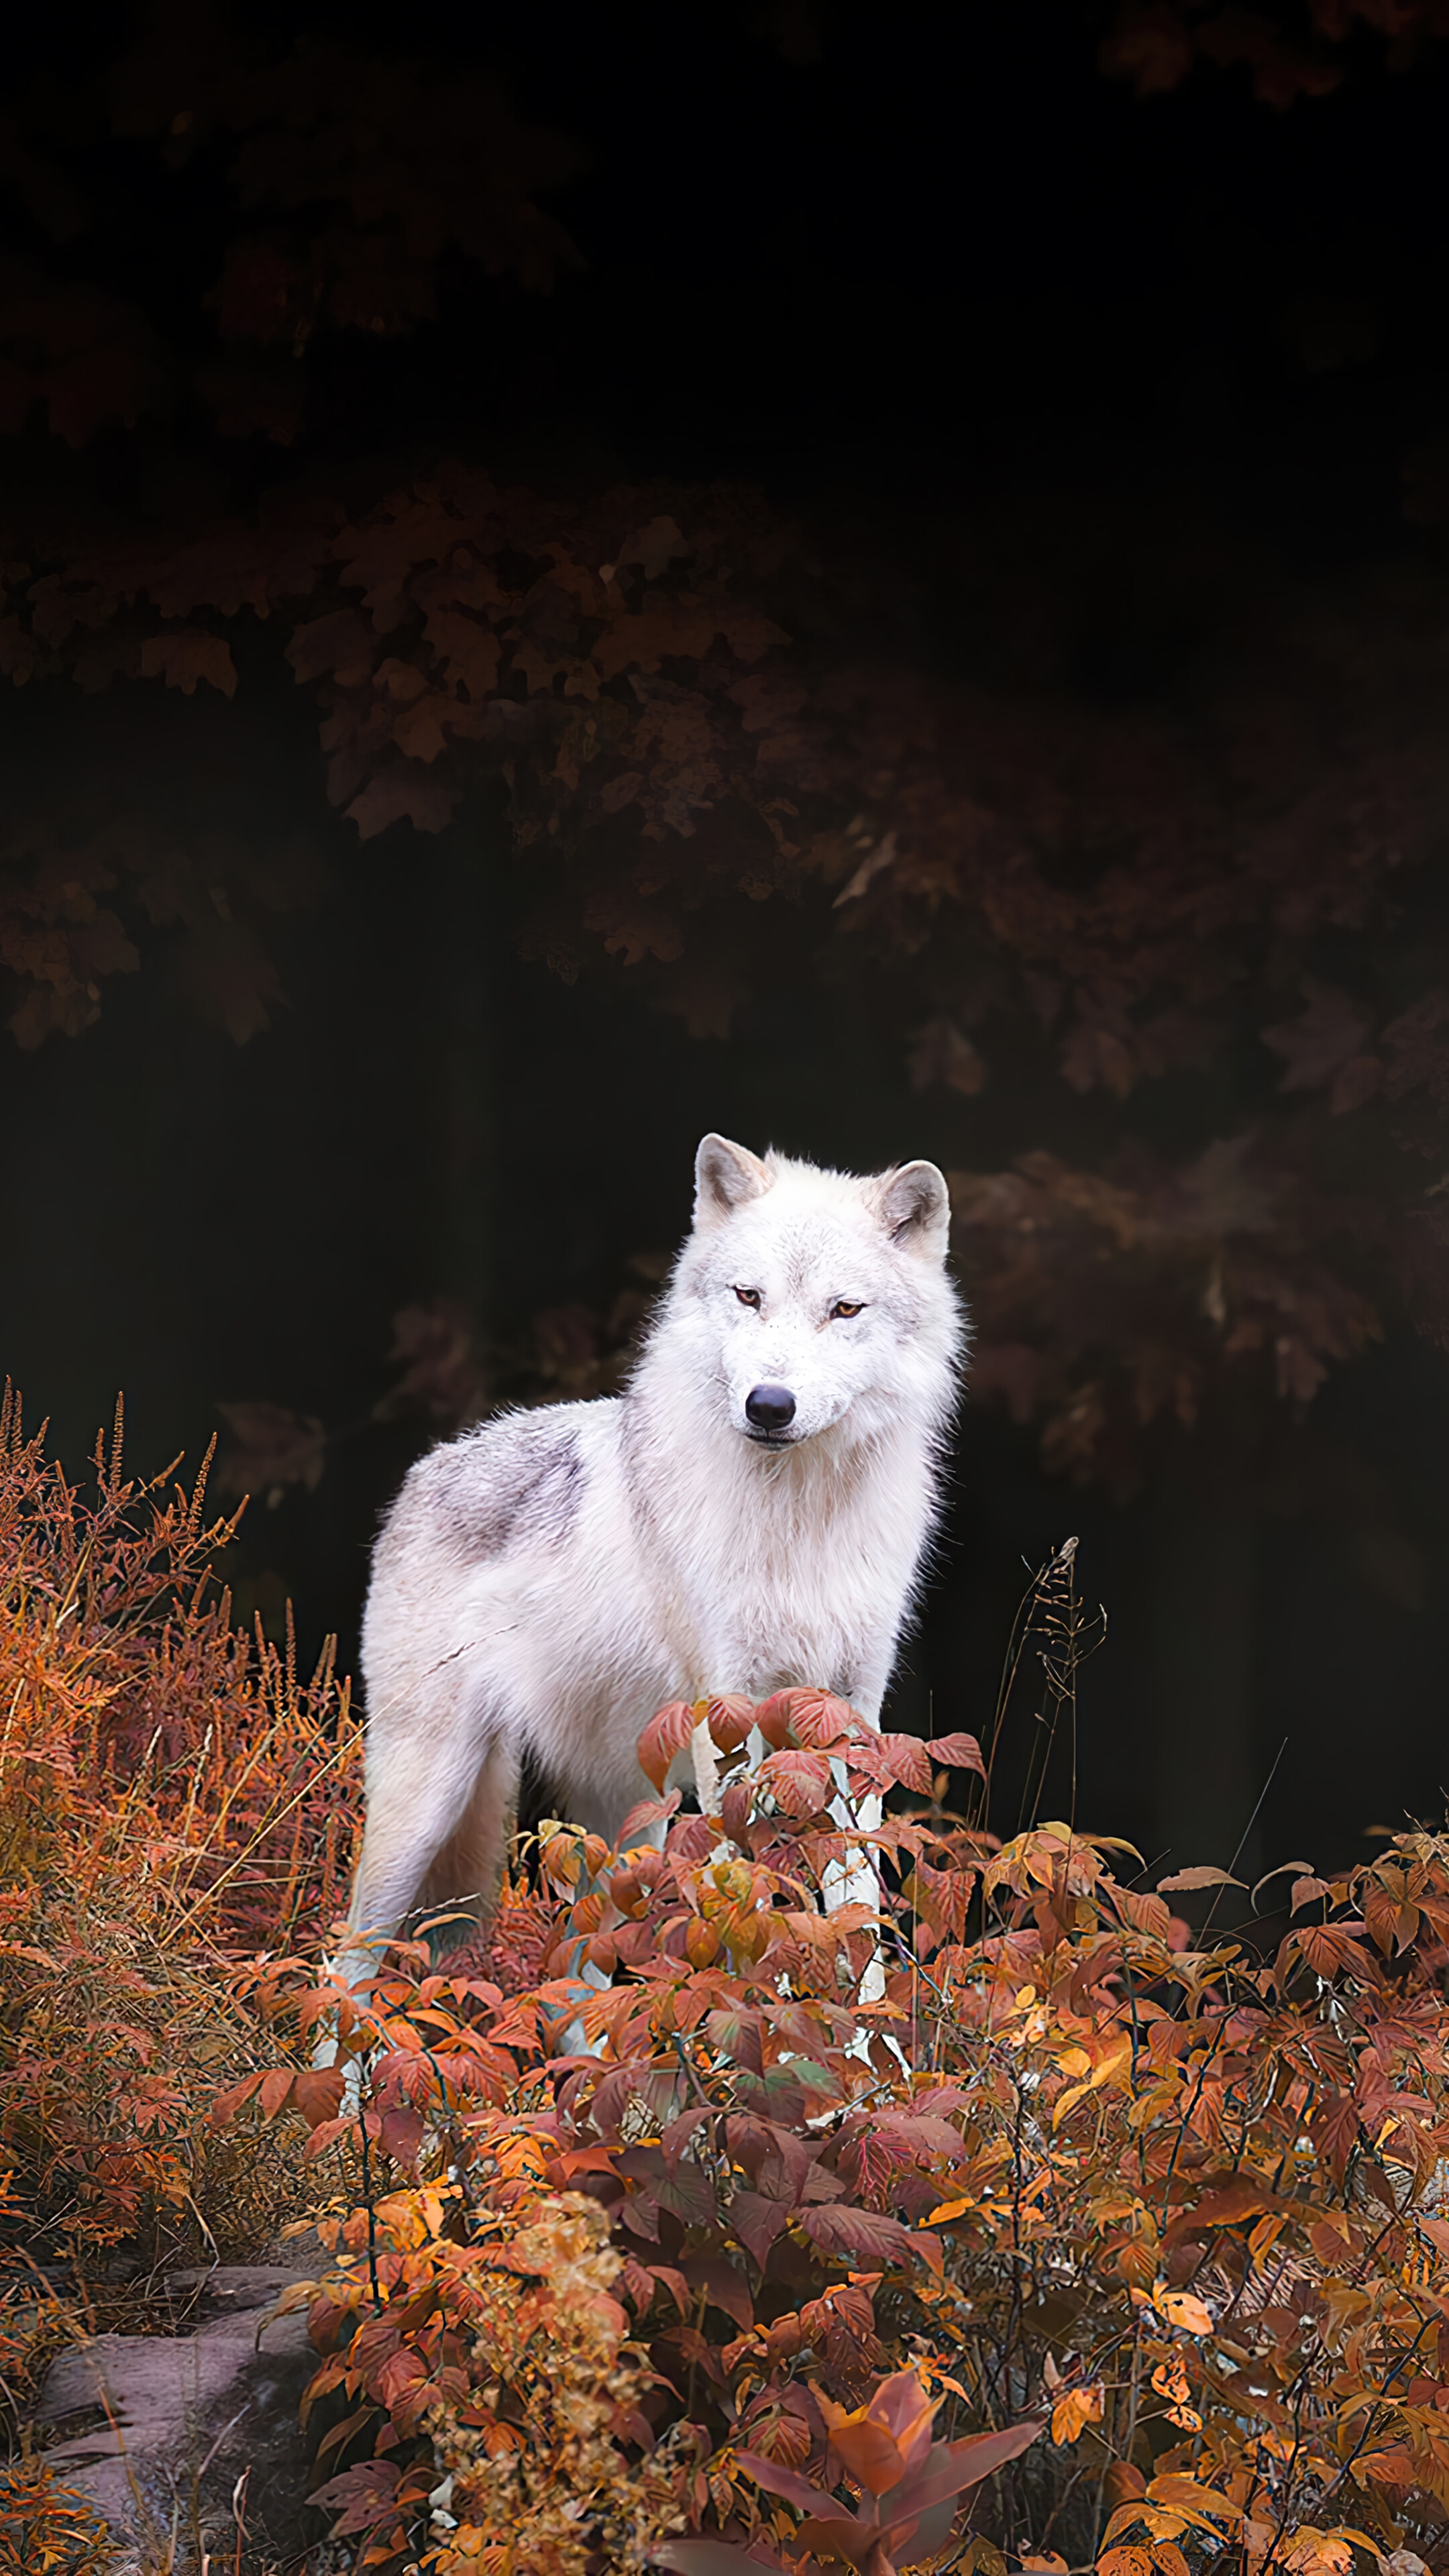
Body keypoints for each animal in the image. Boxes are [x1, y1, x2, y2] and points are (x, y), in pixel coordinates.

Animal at [340, 1134, 963, 1984]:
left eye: (844, 1310)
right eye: (748, 1297)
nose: (770, 1405)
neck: (796, 1522)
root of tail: (429, 1465)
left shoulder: (851, 1715)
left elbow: (857, 1899)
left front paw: (865, 2027)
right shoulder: (727, 1713)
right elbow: (748, 1890)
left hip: (623, 1831)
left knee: (574, 1983)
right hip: (427, 1805)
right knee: (343, 1963)